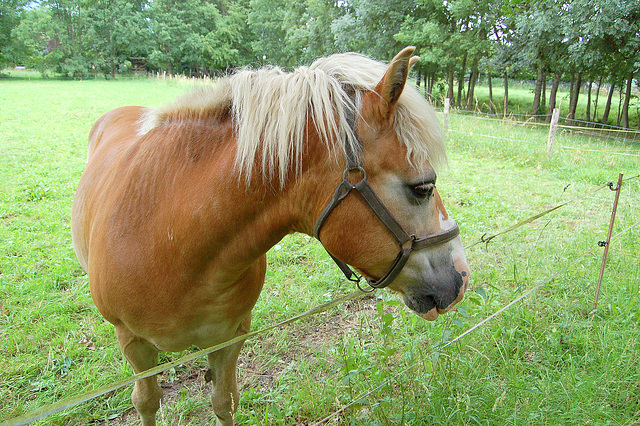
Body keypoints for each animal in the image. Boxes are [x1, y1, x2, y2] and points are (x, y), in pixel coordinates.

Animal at [71, 46, 470, 422]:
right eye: (423, 188)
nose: (462, 277)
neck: (171, 240)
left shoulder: (231, 336)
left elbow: (224, 402)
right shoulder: (134, 343)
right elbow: (147, 403)